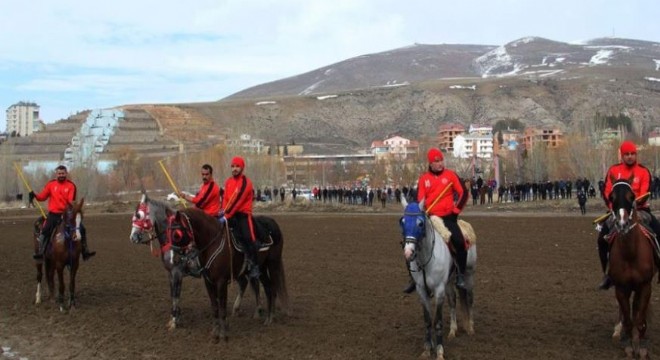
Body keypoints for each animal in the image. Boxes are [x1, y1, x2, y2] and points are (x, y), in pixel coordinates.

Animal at [165, 207, 288, 342]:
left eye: (176, 234)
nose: (174, 260)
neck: (212, 243)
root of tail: (272, 223)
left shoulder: (221, 281)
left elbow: (222, 307)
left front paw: (223, 334)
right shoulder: (208, 281)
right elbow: (215, 306)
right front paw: (215, 332)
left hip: (273, 264)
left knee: (273, 287)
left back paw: (271, 317)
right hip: (261, 268)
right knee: (268, 288)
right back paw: (268, 318)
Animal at [402, 197, 454, 360]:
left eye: (420, 223)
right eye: (402, 222)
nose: (408, 252)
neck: (426, 259)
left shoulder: (439, 290)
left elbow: (437, 321)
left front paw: (439, 351)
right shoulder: (421, 291)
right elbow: (427, 320)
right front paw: (427, 348)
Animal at [604, 179, 656, 358]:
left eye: (632, 196)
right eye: (611, 197)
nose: (622, 224)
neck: (631, 253)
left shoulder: (645, 286)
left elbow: (640, 321)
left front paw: (640, 347)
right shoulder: (621, 287)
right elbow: (628, 320)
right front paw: (628, 345)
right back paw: (618, 331)